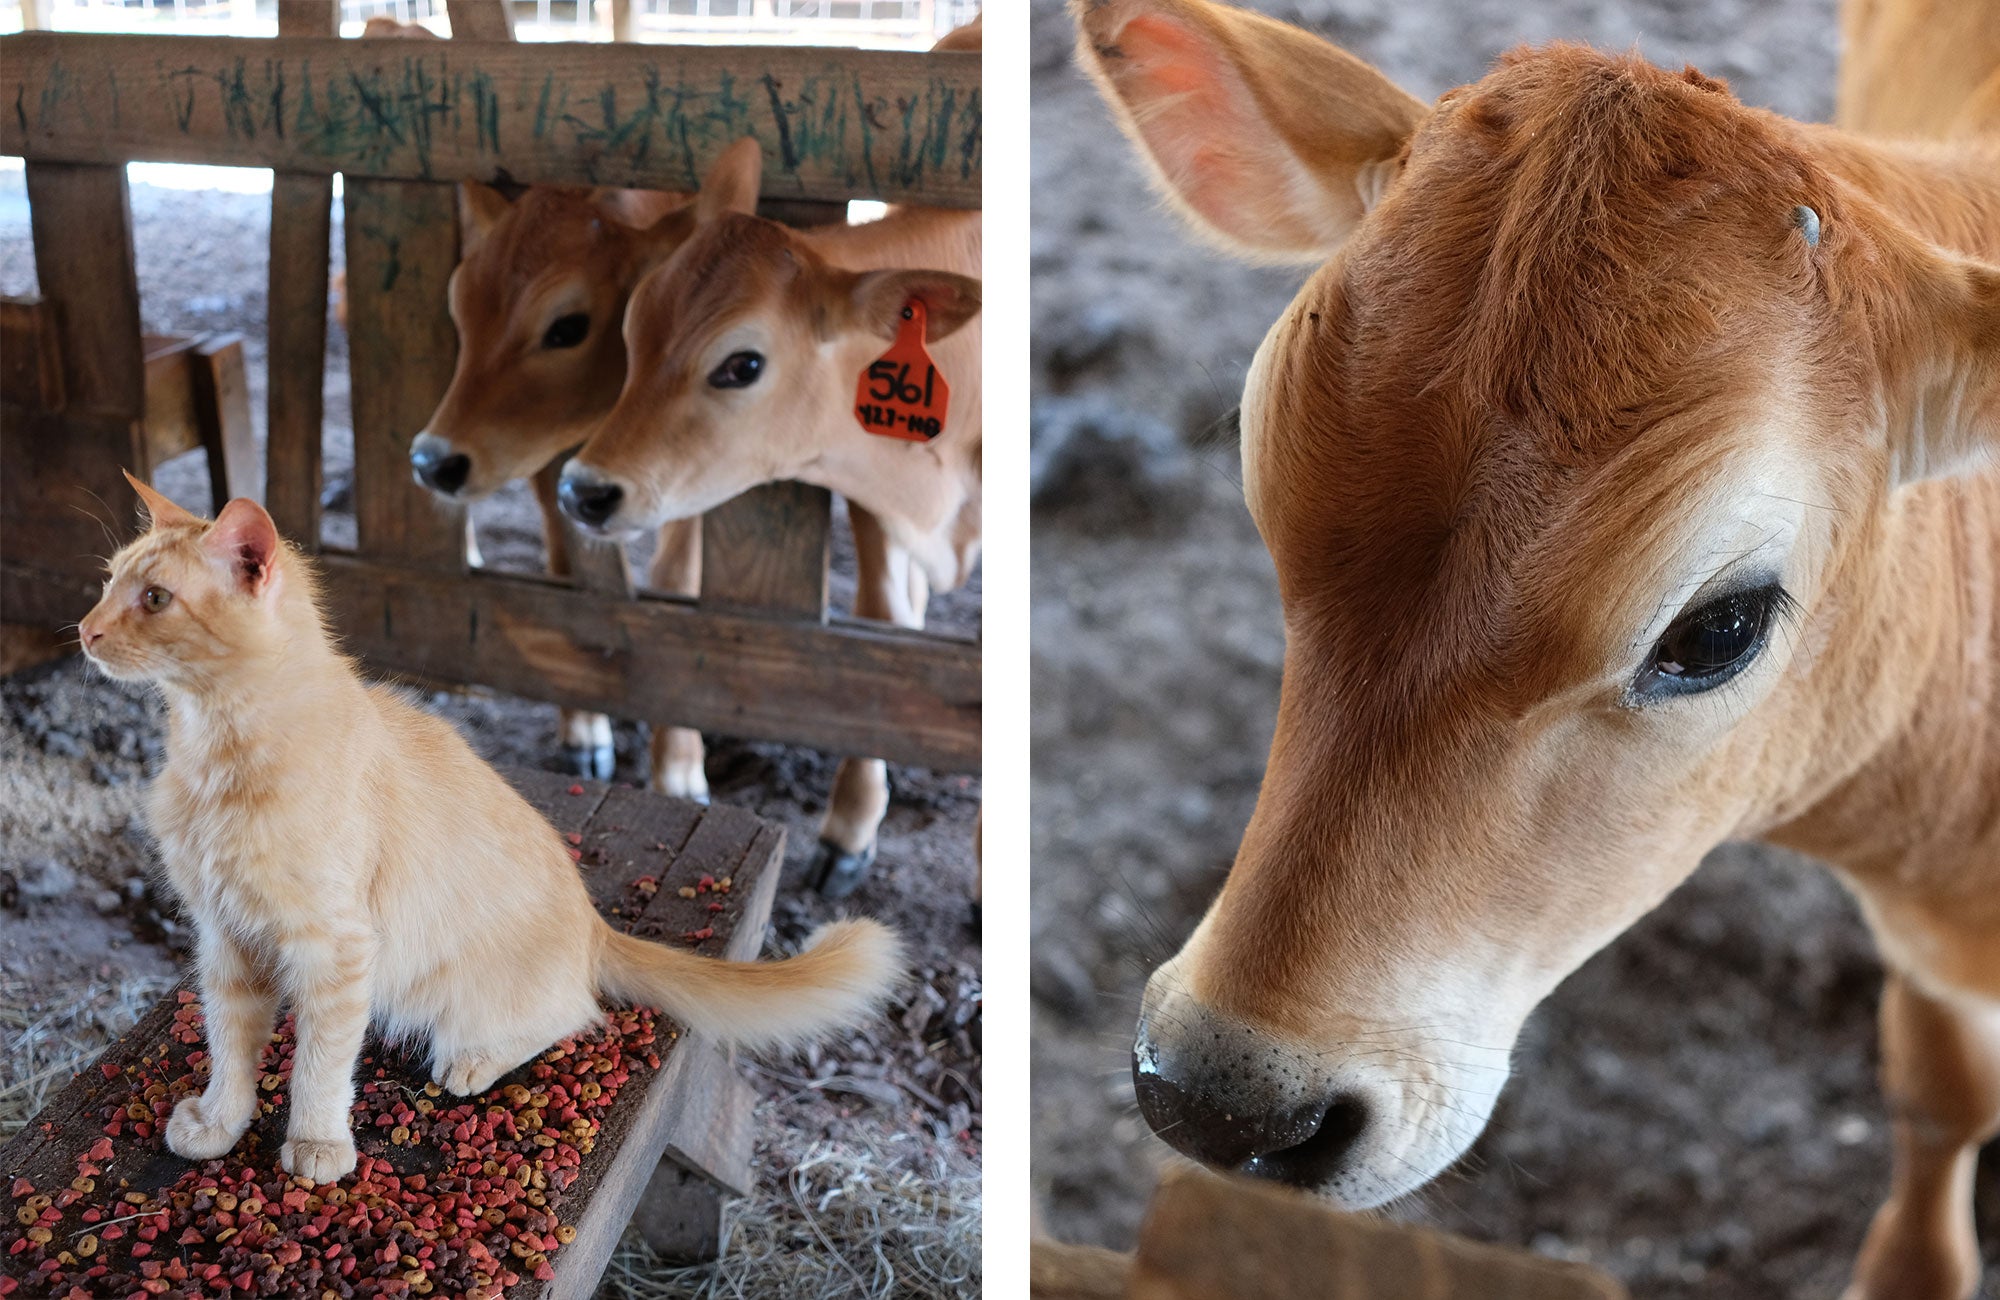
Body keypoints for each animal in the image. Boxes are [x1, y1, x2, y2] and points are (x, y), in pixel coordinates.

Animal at [82, 476, 904, 1184]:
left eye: (154, 599)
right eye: (107, 582)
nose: (85, 631)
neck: (217, 752)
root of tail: (595, 924)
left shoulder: (336, 950)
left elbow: (319, 1063)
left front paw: (316, 1144)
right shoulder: (226, 938)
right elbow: (230, 1045)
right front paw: (220, 1123)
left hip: (458, 998)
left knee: (575, 1013)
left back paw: (472, 1060)